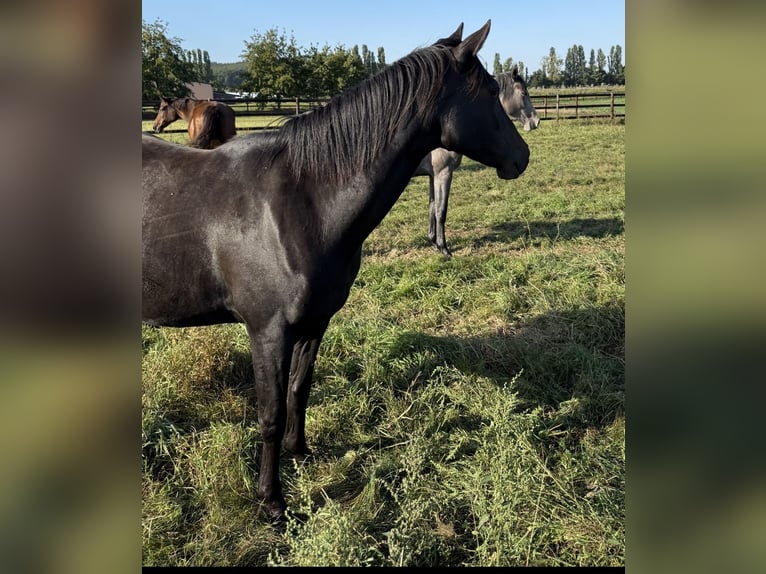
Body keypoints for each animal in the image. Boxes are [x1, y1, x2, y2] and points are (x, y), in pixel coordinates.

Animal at [414, 67, 540, 257]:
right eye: (524, 93)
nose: (536, 121)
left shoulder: (433, 176)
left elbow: (432, 208)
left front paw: (434, 244)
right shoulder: (443, 173)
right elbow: (441, 211)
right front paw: (444, 248)